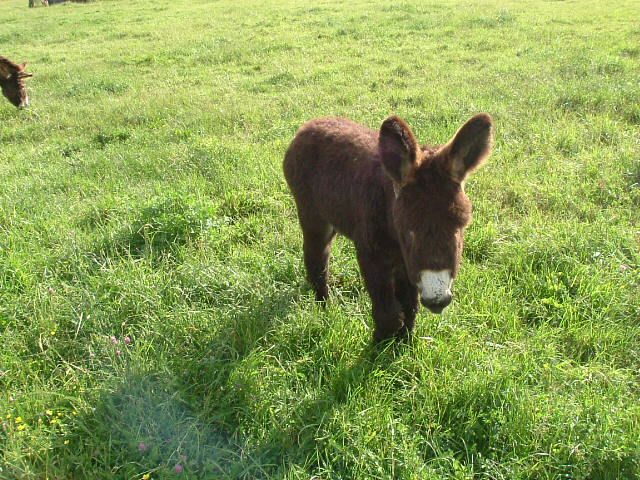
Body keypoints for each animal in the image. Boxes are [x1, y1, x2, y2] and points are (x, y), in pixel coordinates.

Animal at [282, 114, 492, 342]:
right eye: (409, 231)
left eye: (459, 228)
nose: (437, 302)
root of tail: (311, 124)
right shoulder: (370, 254)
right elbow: (388, 313)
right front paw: (379, 343)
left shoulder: (407, 263)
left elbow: (409, 306)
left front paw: (404, 342)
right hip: (313, 216)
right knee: (317, 258)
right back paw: (324, 306)